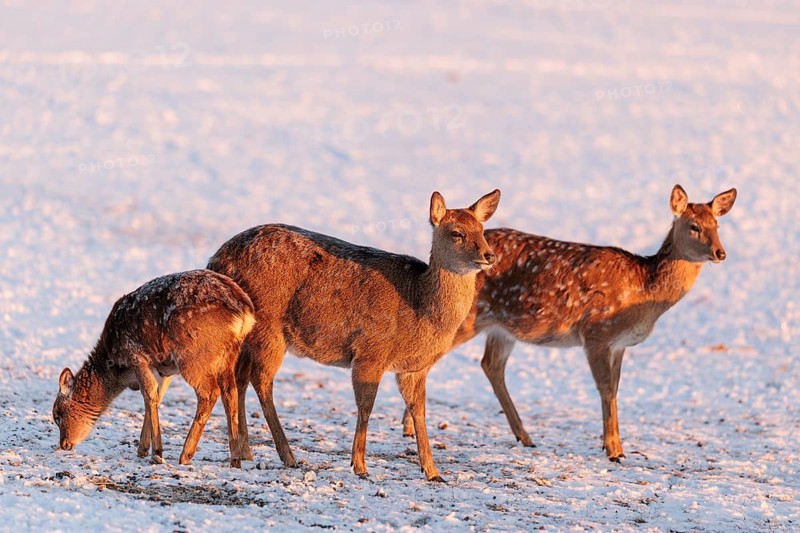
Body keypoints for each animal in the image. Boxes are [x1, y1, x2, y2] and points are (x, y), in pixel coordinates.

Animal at [53, 269, 255, 467]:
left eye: (58, 414)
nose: (64, 444)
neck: (119, 366)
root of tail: (245, 314)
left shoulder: (136, 355)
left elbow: (149, 394)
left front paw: (156, 452)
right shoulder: (162, 369)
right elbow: (157, 396)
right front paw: (143, 448)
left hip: (193, 356)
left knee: (210, 392)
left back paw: (186, 455)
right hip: (229, 356)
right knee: (231, 391)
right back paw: (235, 459)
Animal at [206, 190, 501, 481]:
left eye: (482, 230)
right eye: (456, 232)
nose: (490, 256)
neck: (420, 312)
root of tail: (217, 260)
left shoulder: (414, 369)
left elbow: (419, 411)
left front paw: (432, 471)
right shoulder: (370, 351)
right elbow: (366, 406)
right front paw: (359, 465)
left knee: (239, 378)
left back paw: (246, 451)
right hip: (269, 327)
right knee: (261, 380)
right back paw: (287, 456)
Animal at [401, 185, 737, 461]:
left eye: (717, 225)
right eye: (694, 226)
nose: (721, 252)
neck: (645, 287)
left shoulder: (619, 344)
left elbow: (616, 387)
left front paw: (614, 444)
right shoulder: (596, 333)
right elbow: (606, 388)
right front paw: (614, 450)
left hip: (502, 328)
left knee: (491, 364)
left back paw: (524, 436)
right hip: (470, 319)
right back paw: (408, 428)